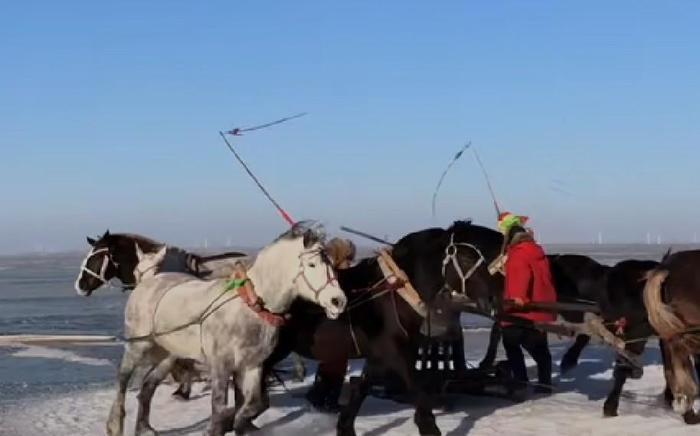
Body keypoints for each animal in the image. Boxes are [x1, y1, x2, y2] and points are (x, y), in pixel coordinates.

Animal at [107, 225, 348, 436]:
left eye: (331, 264)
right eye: (312, 264)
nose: (338, 301)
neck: (249, 307)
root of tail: (148, 282)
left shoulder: (252, 366)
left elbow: (252, 405)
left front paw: (240, 423)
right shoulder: (221, 367)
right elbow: (220, 409)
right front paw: (217, 427)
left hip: (169, 355)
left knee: (147, 387)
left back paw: (144, 428)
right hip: (137, 347)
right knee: (122, 381)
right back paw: (115, 425)